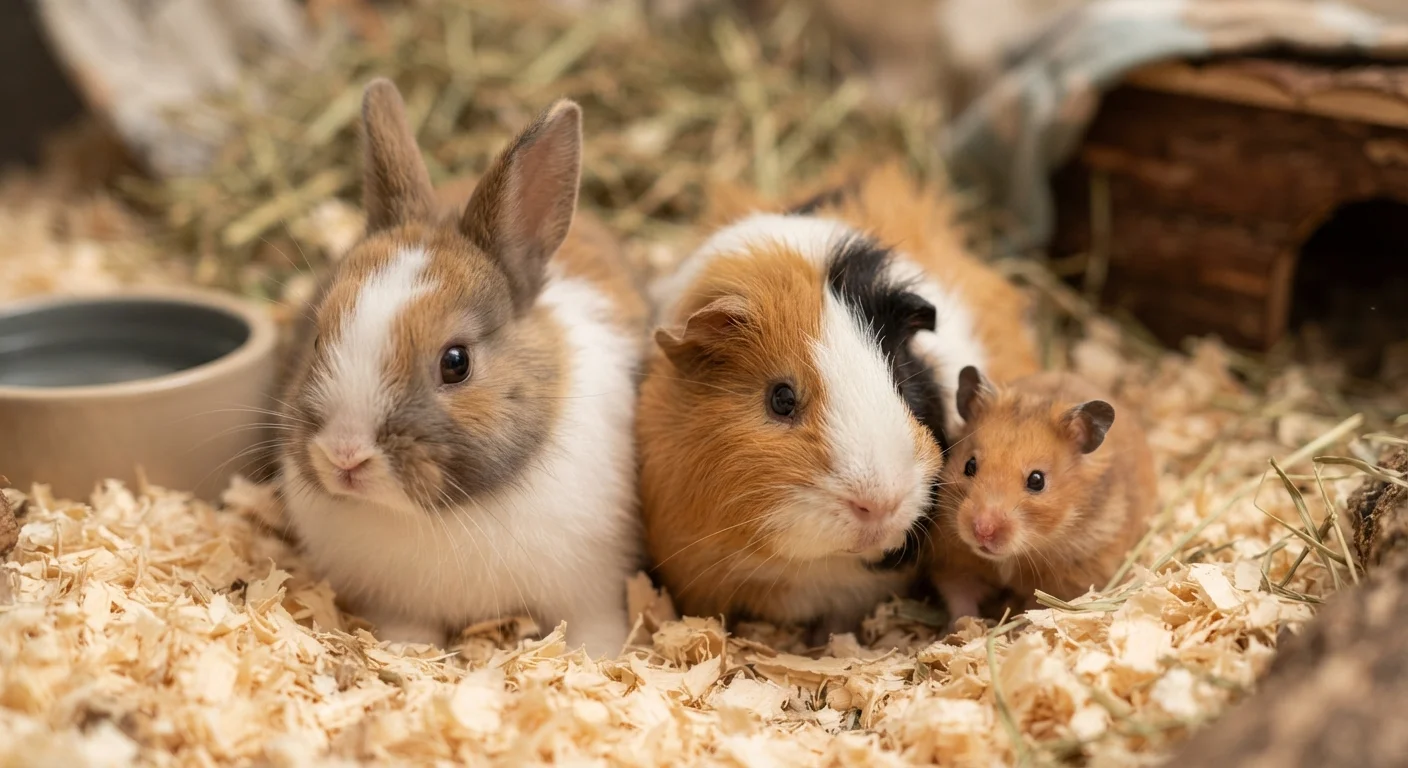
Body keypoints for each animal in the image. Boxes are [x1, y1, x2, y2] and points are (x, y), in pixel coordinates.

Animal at [277, 78, 648, 659]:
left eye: (457, 363)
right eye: (317, 338)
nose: (344, 456)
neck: (442, 515)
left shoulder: (595, 588)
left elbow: (595, 626)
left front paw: (597, 657)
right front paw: (408, 654)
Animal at [931, 366, 1157, 620]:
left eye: (1037, 480)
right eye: (969, 465)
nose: (982, 530)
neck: (1011, 557)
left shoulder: (1070, 578)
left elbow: (1035, 610)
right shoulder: (951, 559)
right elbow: (960, 596)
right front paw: (964, 624)